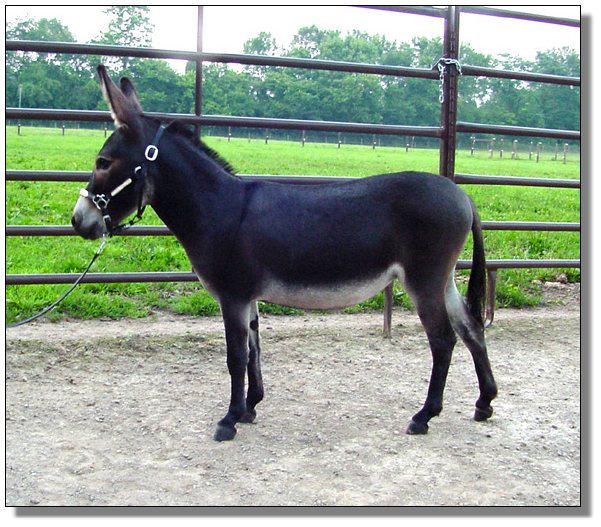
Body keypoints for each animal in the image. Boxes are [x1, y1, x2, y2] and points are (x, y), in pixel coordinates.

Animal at [72, 65, 497, 441]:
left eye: (103, 162)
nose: (78, 221)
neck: (219, 207)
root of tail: (463, 195)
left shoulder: (232, 295)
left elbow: (235, 357)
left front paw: (228, 421)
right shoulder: (248, 297)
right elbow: (254, 350)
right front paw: (249, 408)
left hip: (423, 279)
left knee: (443, 340)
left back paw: (424, 416)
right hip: (443, 279)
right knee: (471, 328)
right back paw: (485, 403)